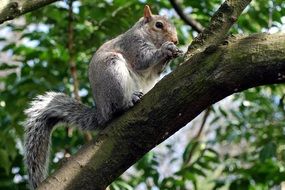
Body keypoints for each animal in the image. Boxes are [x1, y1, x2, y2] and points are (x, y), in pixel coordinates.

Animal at [23, 5, 181, 189]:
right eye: (158, 25)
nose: (176, 40)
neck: (145, 35)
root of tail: (102, 112)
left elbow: (156, 71)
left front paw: (173, 53)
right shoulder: (133, 45)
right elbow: (144, 59)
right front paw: (166, 49)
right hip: (113, 70)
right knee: (117, 107)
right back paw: (129, 101)